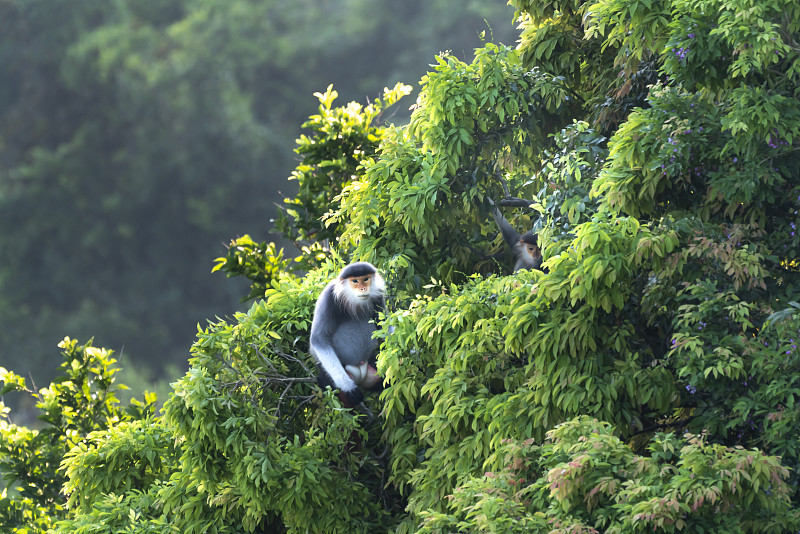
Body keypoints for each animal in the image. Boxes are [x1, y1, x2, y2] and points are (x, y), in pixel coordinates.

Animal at [310, 262, 386, 408]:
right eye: (355, 281)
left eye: (366, 279)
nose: (363, 288)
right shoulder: (328, 297)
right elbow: (319, 339)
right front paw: (348, 387)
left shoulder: (378, 296)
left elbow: (383, 326)